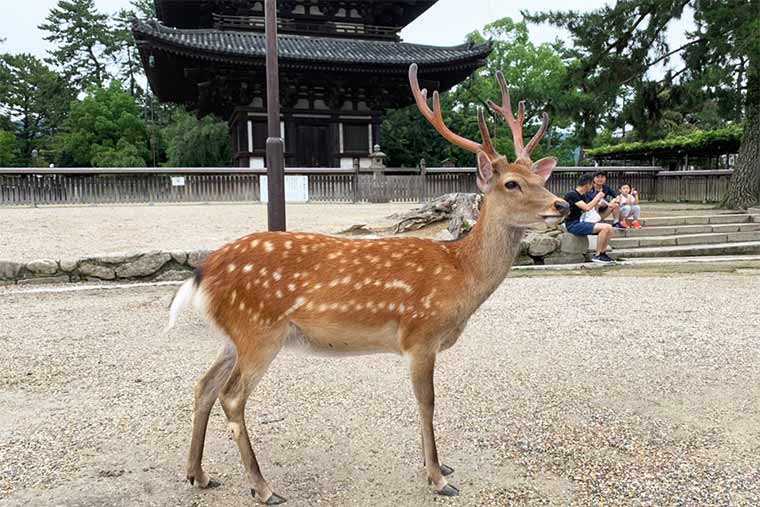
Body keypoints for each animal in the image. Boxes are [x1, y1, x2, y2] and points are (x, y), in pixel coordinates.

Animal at [166, 62, 570, 504]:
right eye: (512, 183)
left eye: (538, 177)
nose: (563, 204)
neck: (460, 277)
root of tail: (203, 272)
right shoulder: (419, 335)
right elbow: (427, 403)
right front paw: (438, 477)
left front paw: (439, 466)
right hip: (259, 332)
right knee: (232, 396)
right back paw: (262, 486)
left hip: (233, 335)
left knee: (203, 386)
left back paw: (198, 474)